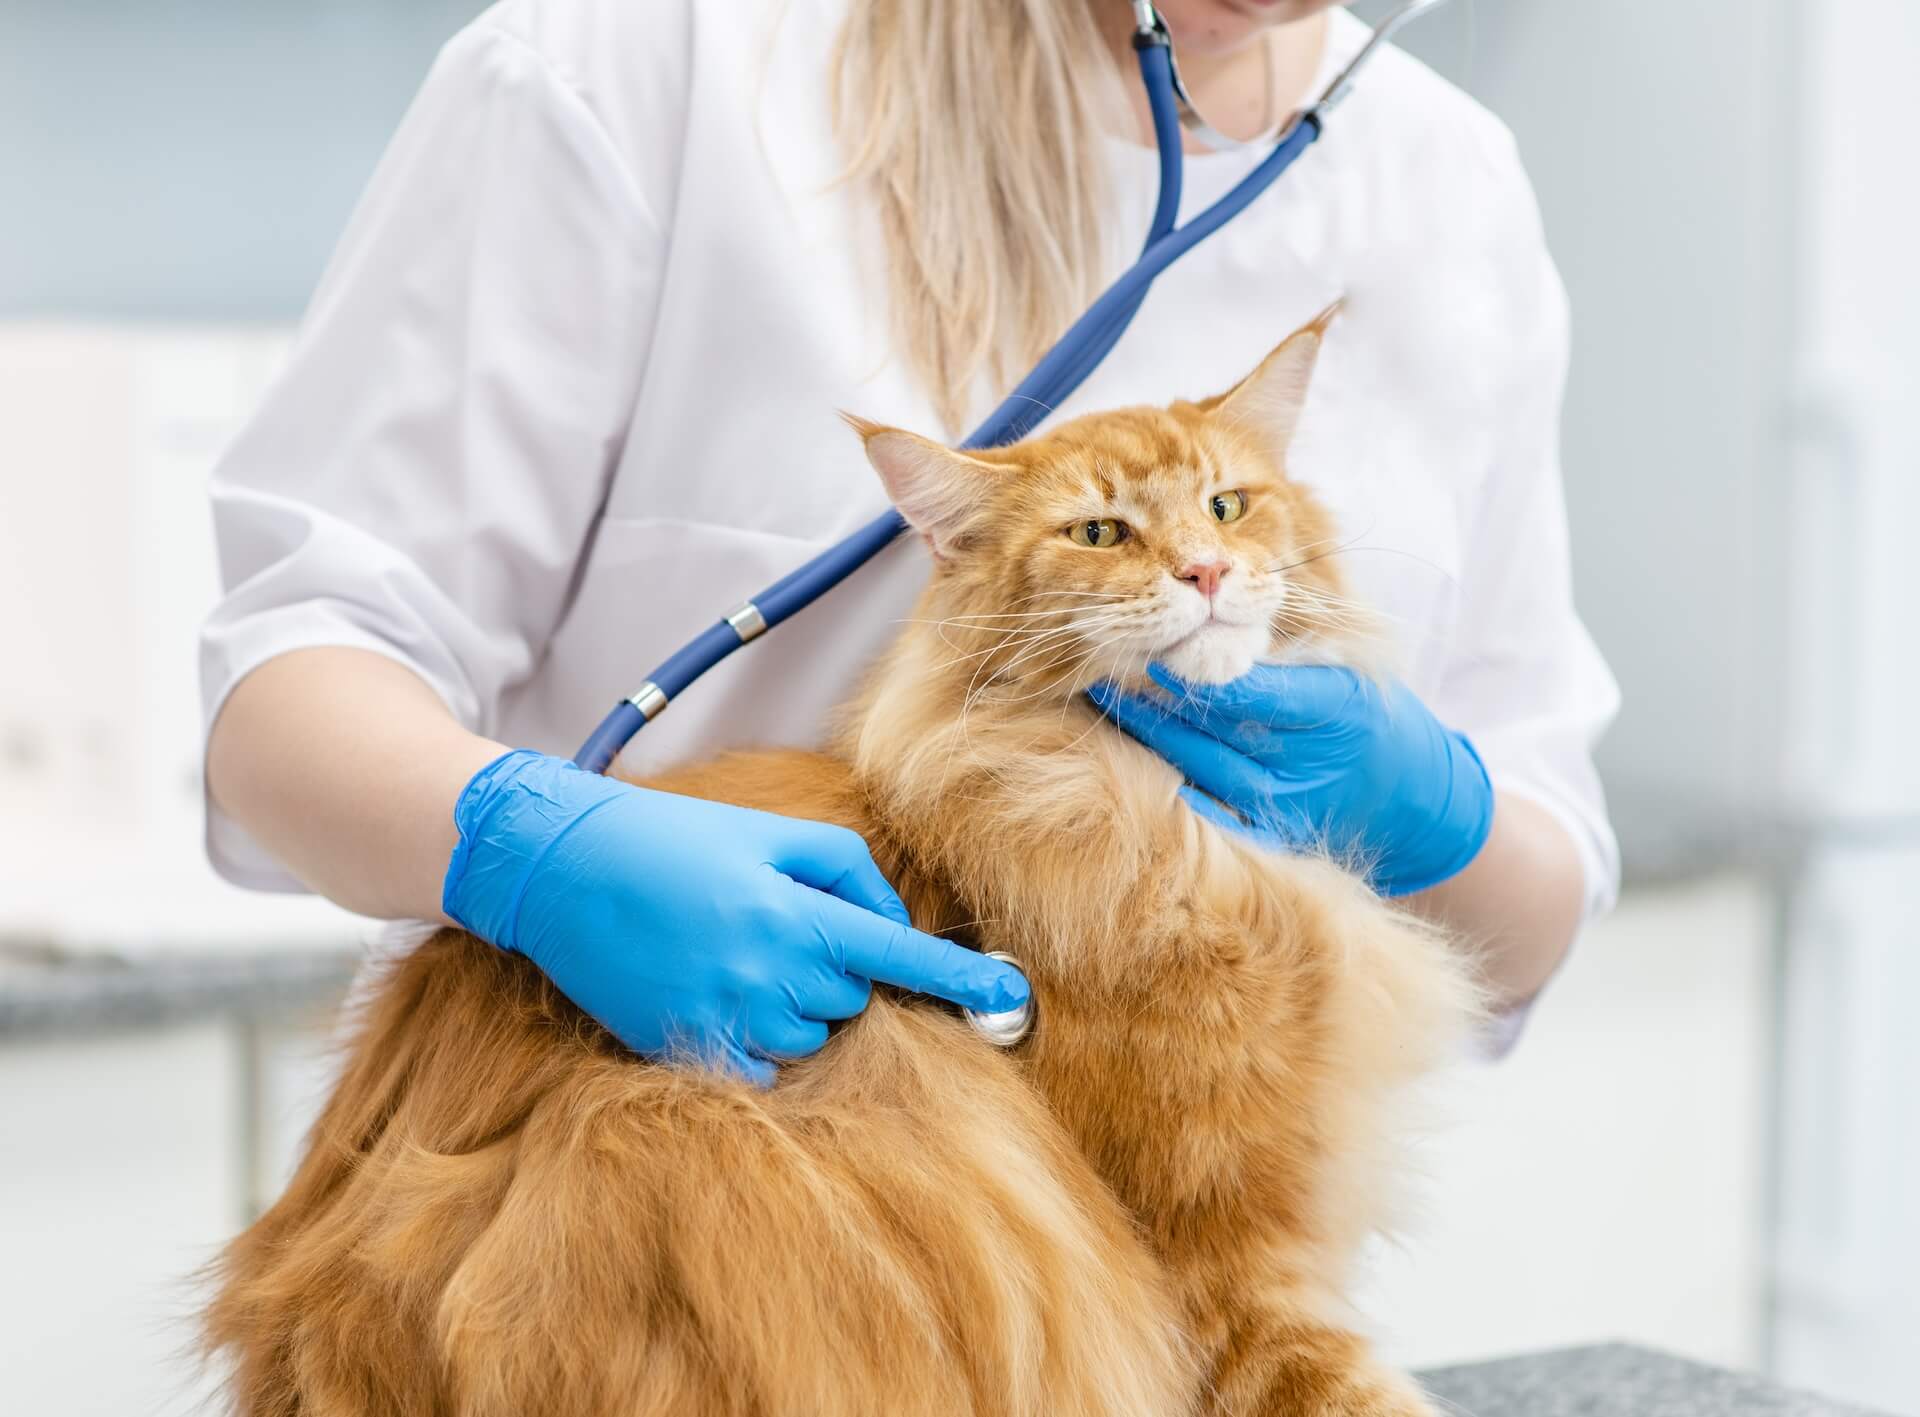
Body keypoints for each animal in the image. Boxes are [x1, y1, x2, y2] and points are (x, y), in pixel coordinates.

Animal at [202, 311, 1474, 1413]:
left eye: (1228, 503)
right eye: (1100, 533)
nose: (1206, 571)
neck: (1145, 808)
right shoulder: (1225, 1258)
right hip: (702, 1107)